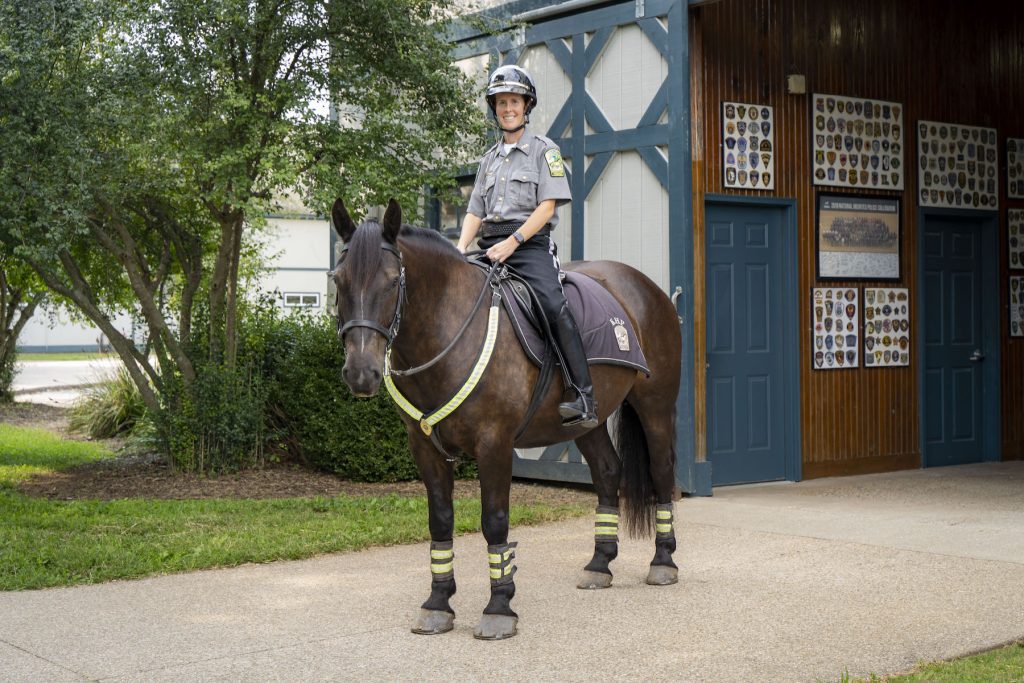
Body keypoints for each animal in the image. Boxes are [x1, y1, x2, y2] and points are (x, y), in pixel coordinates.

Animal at [333, 197, 679, 643]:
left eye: (392, 282)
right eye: (338, 280)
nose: (361, 373)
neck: (450, 329)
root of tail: (645, 286)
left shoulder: (494, 444)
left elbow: (495, 523)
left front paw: (499, 608)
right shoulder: (425, 447)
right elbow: (440, 521)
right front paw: (437, 604)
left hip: (655, 407)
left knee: (662, 473)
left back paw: (663, 562)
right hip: (587, 422)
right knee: (607, 471)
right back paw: (599, 564)